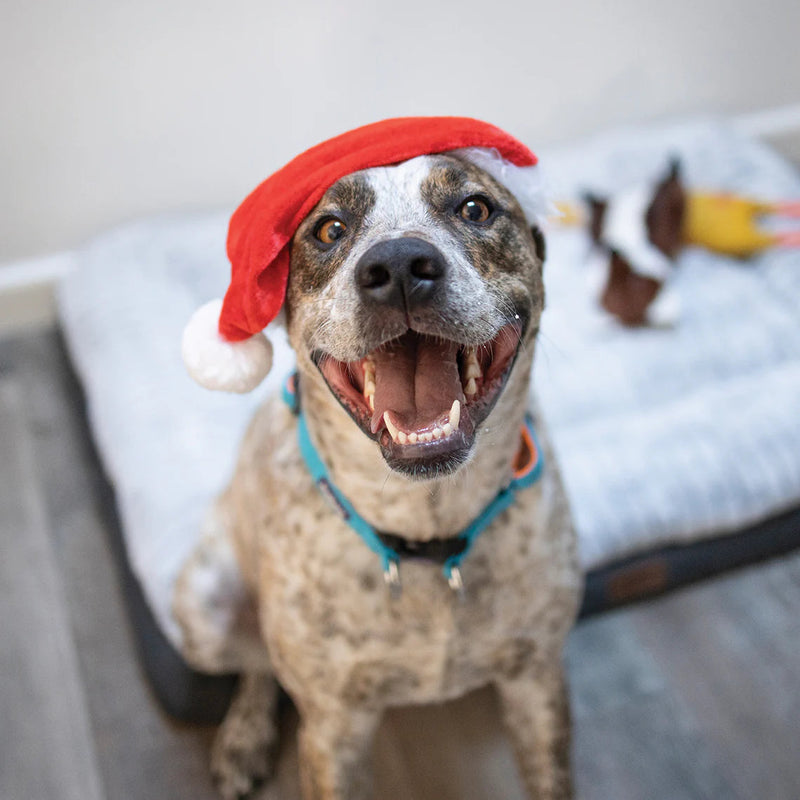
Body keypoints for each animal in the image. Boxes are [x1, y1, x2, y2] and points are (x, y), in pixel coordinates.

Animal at [173, 141, 580, 796]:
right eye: (330, 229)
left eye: (475, 208)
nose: (399, 265)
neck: (427, 532)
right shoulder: (333, 728)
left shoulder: (538, 682)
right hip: (204, 612)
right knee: (257, 664)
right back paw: (242, 738)